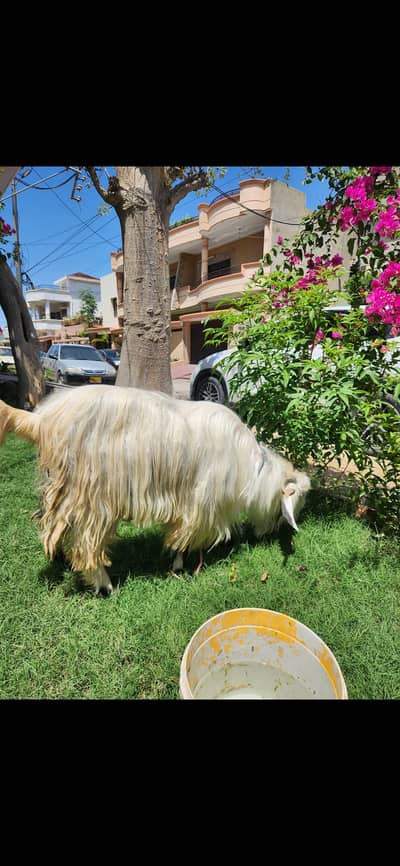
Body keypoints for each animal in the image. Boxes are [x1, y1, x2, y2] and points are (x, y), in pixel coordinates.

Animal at [0, 386, 310, 594]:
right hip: (92, 497)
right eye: (285, 510)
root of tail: (42, 421)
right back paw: (105, 585)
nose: (268, 534)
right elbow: (184, 538)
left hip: (62, 491)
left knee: (53, 528)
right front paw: (179, 567)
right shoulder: (200, 502)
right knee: (87, 545)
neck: (250, 469)